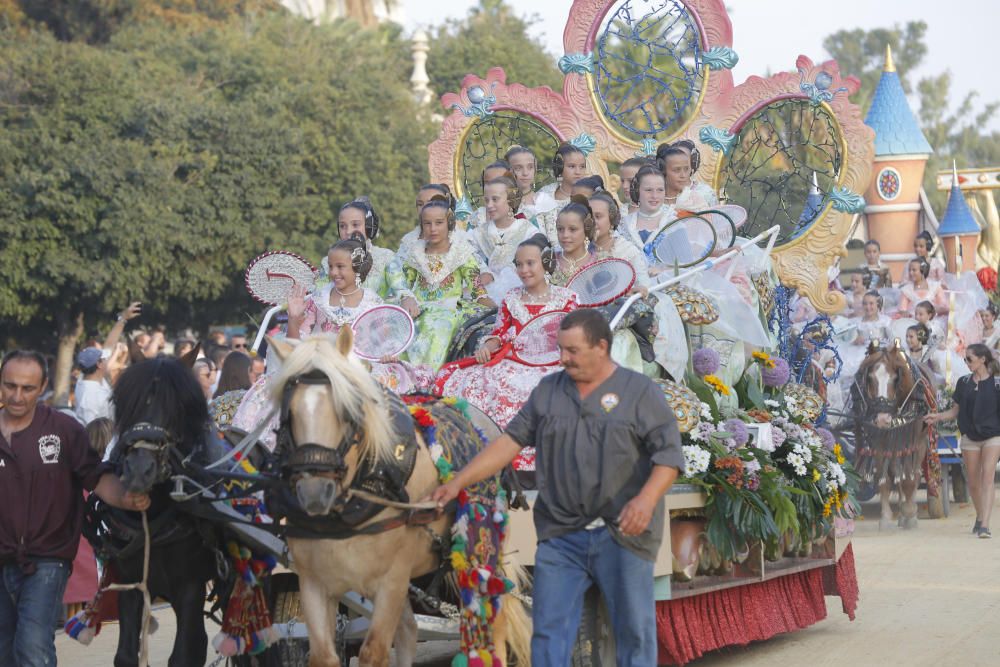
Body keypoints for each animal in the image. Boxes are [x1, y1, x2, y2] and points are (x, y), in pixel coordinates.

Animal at [90, 358, 227, 667]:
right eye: (127, 401)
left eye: (177, 406)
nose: (139, 471)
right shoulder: (130, 582)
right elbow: (126, 655)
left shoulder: (190, 585)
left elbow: (185, 654)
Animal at [266, 334, 532, 667]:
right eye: (288, 413)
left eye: (349, 410)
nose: (315, 491)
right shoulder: (312, 581)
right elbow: (323, 655)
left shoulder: (391, 580)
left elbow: (374, 652)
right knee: (409, 630)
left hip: (481, 551)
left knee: (492, 624)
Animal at [848, 342, 932, 528]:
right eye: (870, 378)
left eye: (895, 379)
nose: (883, 419)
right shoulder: (880, 441)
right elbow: (884, 477)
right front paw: (886, 517)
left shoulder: (913, 441)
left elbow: (910, 478)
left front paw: (910, 512)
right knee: (896, 470)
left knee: (914, 473)